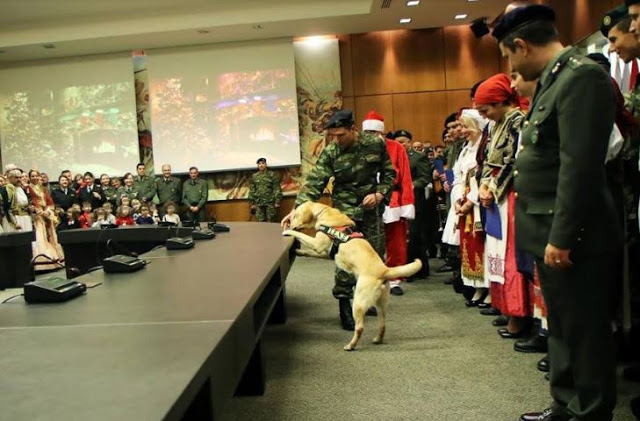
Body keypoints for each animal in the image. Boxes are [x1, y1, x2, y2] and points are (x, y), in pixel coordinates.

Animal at [282, 202, 422, 350]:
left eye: (295, 215)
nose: (289, 223)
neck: (324, 212)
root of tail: (384, 270)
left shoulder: (317, 244)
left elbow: (300, 235)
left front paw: (288, 232)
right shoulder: (324, 252)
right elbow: (309, 252)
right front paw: (299, 251)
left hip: (358, 303)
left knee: (359, 328)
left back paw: (351, 345)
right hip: (381, 305)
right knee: (383, 324)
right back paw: (378, 339)